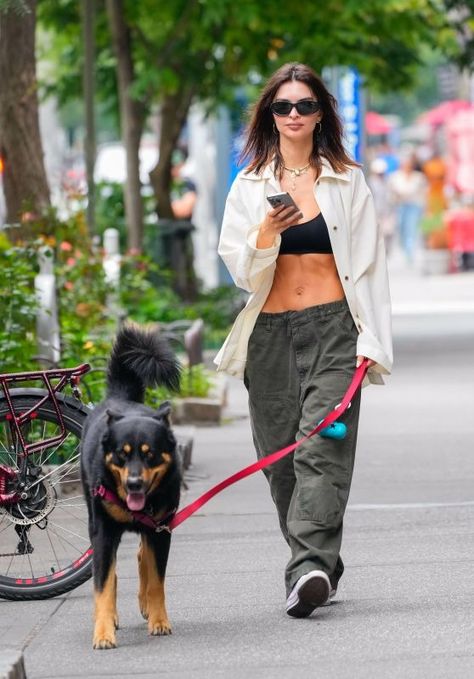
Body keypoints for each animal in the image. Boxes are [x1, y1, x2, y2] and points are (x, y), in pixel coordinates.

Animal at [80, 326, 181, 652]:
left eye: (150, 454)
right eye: (121, 454)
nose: (134, 483)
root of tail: (121, 397)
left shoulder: (161, 529)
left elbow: (157, 582)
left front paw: (159, 621)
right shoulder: (103, 532)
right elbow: (102, 585)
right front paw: (102, 632)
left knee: (142, 557)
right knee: (111, 573)